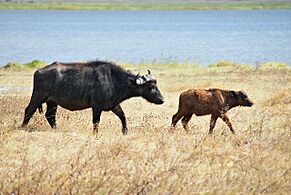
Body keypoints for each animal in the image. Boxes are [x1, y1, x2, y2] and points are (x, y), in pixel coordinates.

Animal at [21, 61, 165, 136]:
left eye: (156, 84)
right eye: (151, 86)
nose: (162, 99)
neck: (114, 80)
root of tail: (39, 71)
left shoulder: (113, 105)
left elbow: (123, 116)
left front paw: (125, 131)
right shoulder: (96, 106)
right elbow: (96, 121)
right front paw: (95, 134)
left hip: (52, 102)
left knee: (50, 116)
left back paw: (56, 129)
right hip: (37, 96)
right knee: (29, 110)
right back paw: (23, 127)